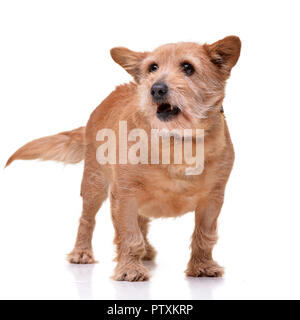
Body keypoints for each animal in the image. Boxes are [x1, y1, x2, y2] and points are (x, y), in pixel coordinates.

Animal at [5, 35, 241, 280]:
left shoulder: (212, 199)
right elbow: (128, 234)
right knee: (87, 220)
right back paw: (82, 252)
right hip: (94, 185)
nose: (156, 89)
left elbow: (204, 235)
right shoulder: (124, 194)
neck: (175, 140)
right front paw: (130, 268)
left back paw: (146, 251)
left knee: (142, 221)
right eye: (152, 68)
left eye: (188, 67)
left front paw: (202, 265)